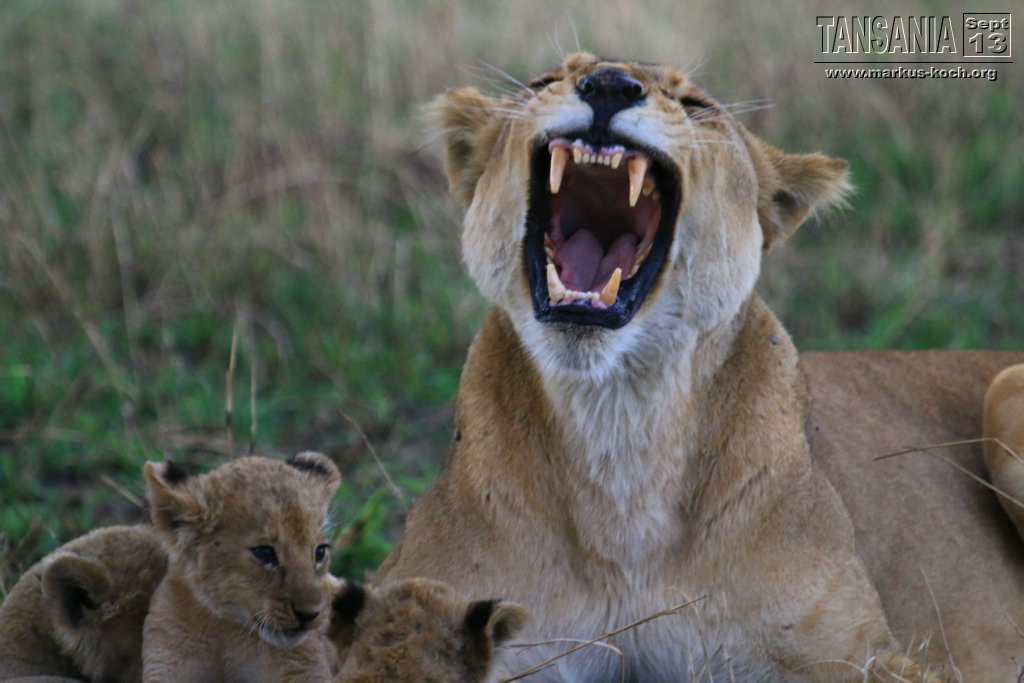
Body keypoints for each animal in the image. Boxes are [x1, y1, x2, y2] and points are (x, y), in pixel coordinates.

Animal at [141, 452, 340, 683]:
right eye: (265, 553)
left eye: (320, 552)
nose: (309, 615)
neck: (224, 629)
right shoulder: (166, 663)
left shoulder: (305, 669)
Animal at [373, 52, 1024, 682]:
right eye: (544, 80)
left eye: (696, 105)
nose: (609, 84)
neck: (620, 422)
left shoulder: (867, 656)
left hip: (1004, 387)